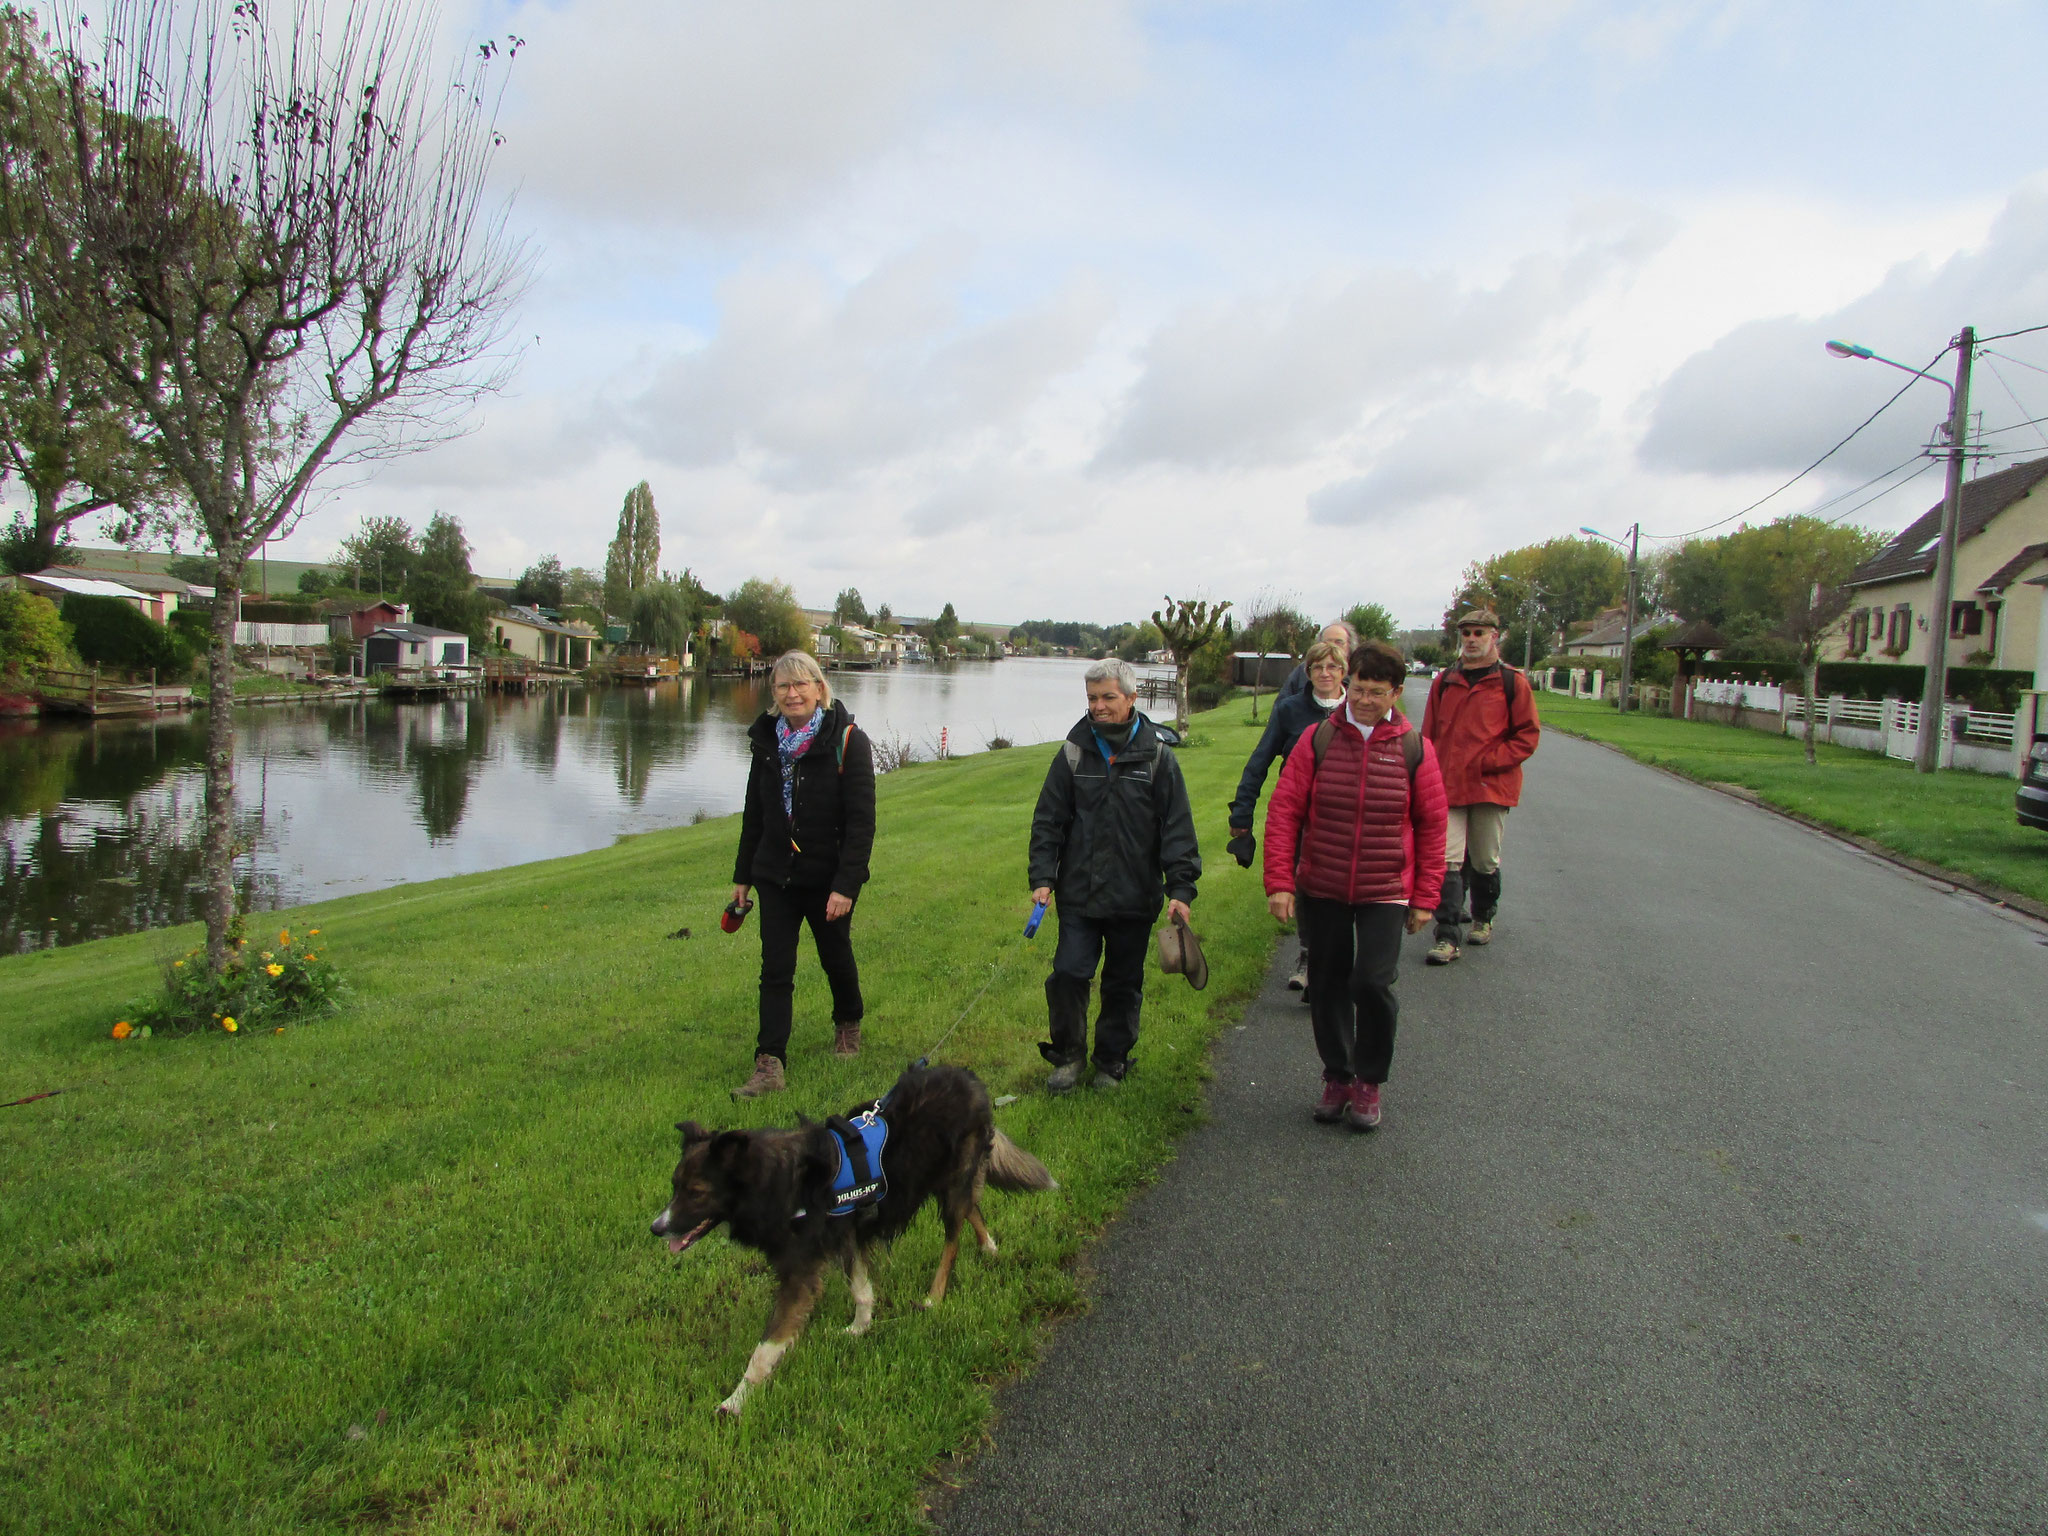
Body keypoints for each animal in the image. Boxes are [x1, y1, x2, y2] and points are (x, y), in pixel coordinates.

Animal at [651, 1073, 1056, 1417]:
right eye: (675, 1186)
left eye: (696, 1192)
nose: (657, 1228)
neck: (777, 1180)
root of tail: (969, 1079)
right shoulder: (846, 1236)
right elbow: (862, 1289)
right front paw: (860, 1328)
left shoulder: (799, 1272)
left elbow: (764, 1350)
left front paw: (735, 1402)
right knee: (973, 1207)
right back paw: (989, 1247)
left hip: (952, 1178)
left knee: (953, 1238)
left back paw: (935, 1296)